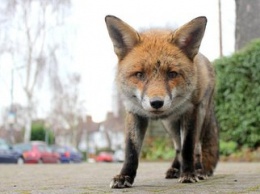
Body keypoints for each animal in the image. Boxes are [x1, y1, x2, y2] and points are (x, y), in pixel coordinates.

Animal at [104, 15, 218, 189]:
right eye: (139, 74)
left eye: (172, 74)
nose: (156, 103)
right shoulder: (134, 112)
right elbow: (131, 151)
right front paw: (124, 176)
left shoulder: (190, 111)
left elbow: (188, 147)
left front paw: (188, 173)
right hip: (170, 125)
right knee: (177, 147)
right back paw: (175, 169)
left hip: (200, 115)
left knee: (196, 147)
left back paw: (199, 170)